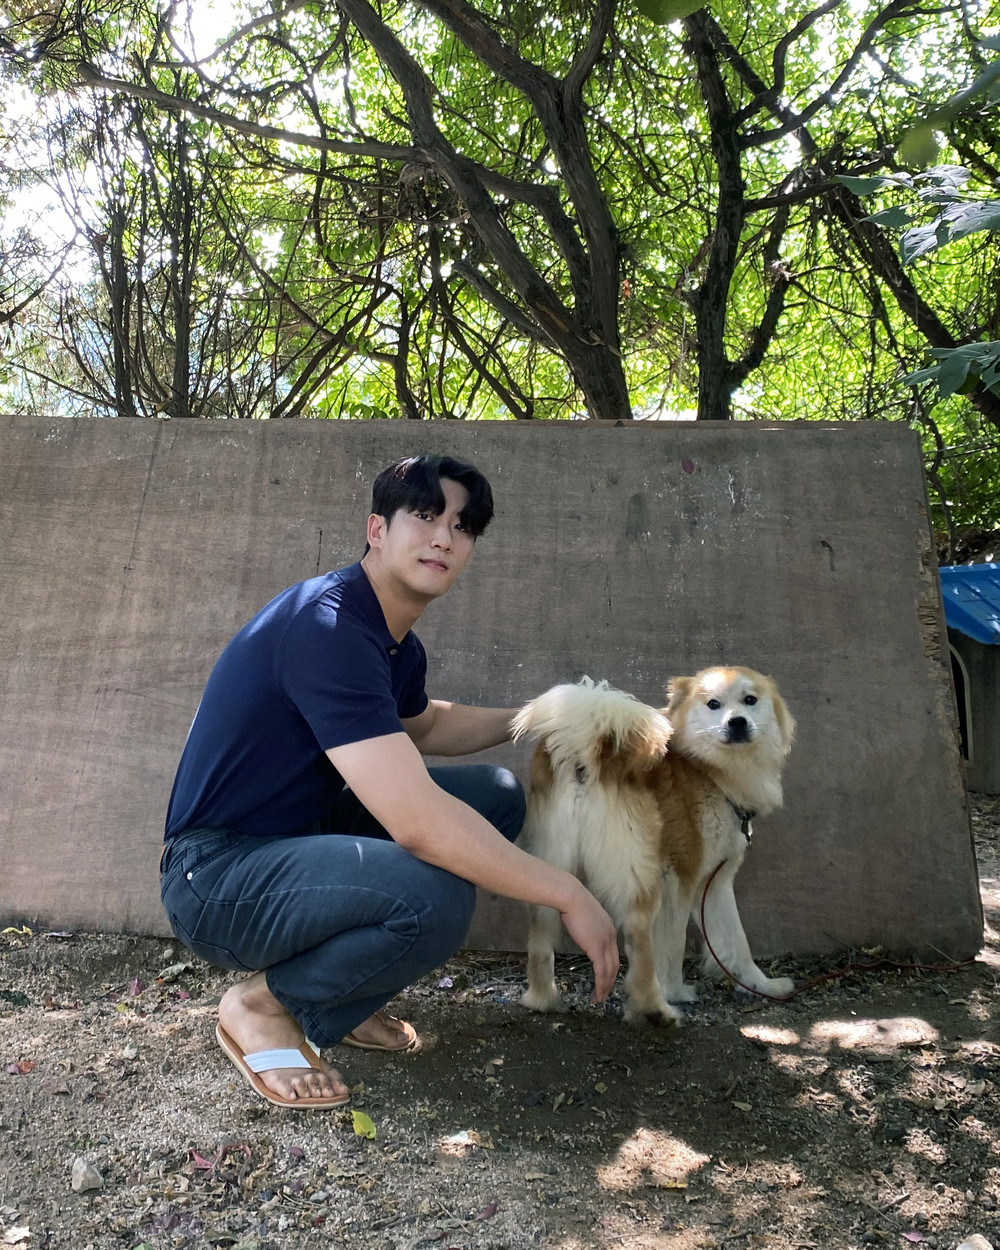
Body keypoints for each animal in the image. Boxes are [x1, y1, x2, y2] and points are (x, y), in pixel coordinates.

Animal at [512, 666, 796, 1026]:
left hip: (552, 862)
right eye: (714, 704)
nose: (737, 723)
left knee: (540, 936)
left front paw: (760, 985)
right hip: (639, 876)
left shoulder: (715, 883)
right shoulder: (681, 879)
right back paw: (656, 1009)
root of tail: (589, 748)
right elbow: (673, 946)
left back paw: (542, 999)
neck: (705, 769)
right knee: (638, 940)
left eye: (750, 700)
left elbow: (736, 941)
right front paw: (675, 990)